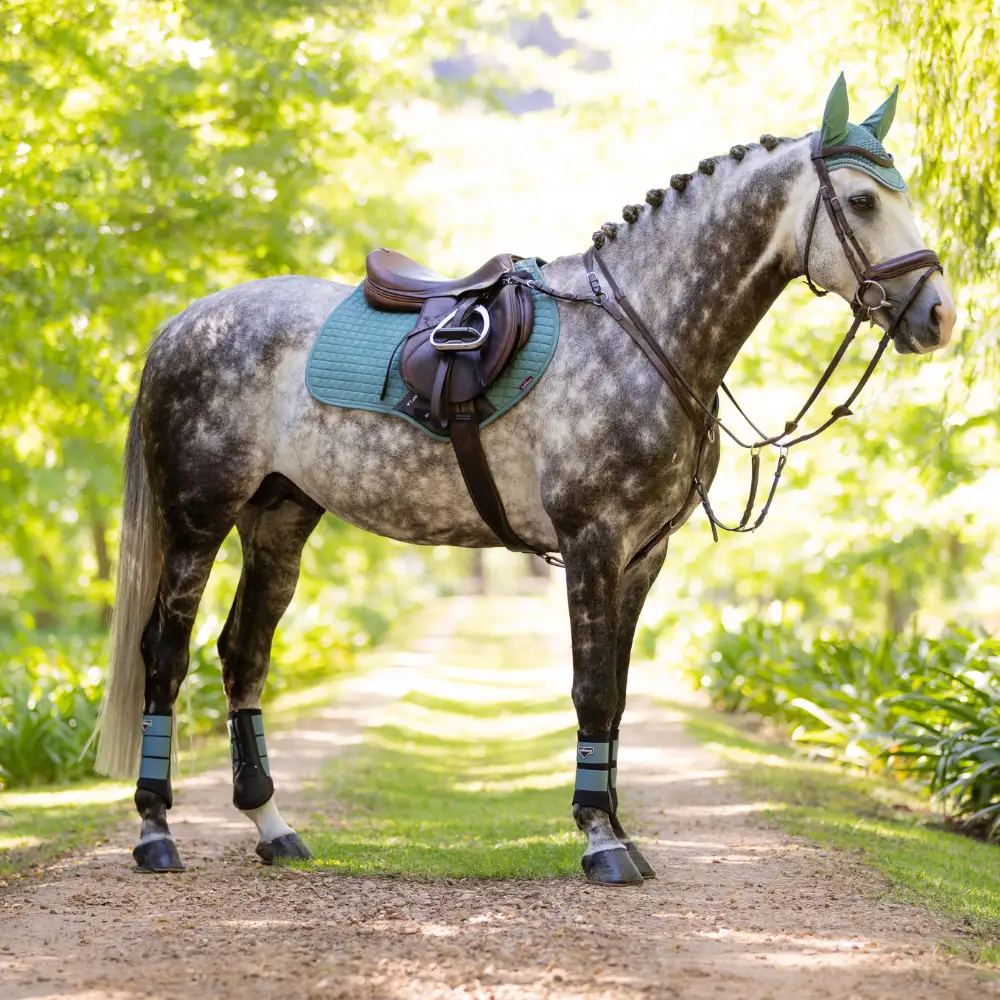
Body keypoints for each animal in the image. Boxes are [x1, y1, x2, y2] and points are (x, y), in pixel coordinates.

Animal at [93, 75, 955, 885]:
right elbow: (591, 690)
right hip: (200, 522)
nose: (939, 315)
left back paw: (273, 828)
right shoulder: (592, 544)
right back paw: (156, 831)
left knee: (243, 654)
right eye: (861, 199)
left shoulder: (643, 557)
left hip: (278, 520)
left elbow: (616, 694)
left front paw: (620, 832)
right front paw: (602, 840)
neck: (640, 329)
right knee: (165, 654)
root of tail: (184, 324)